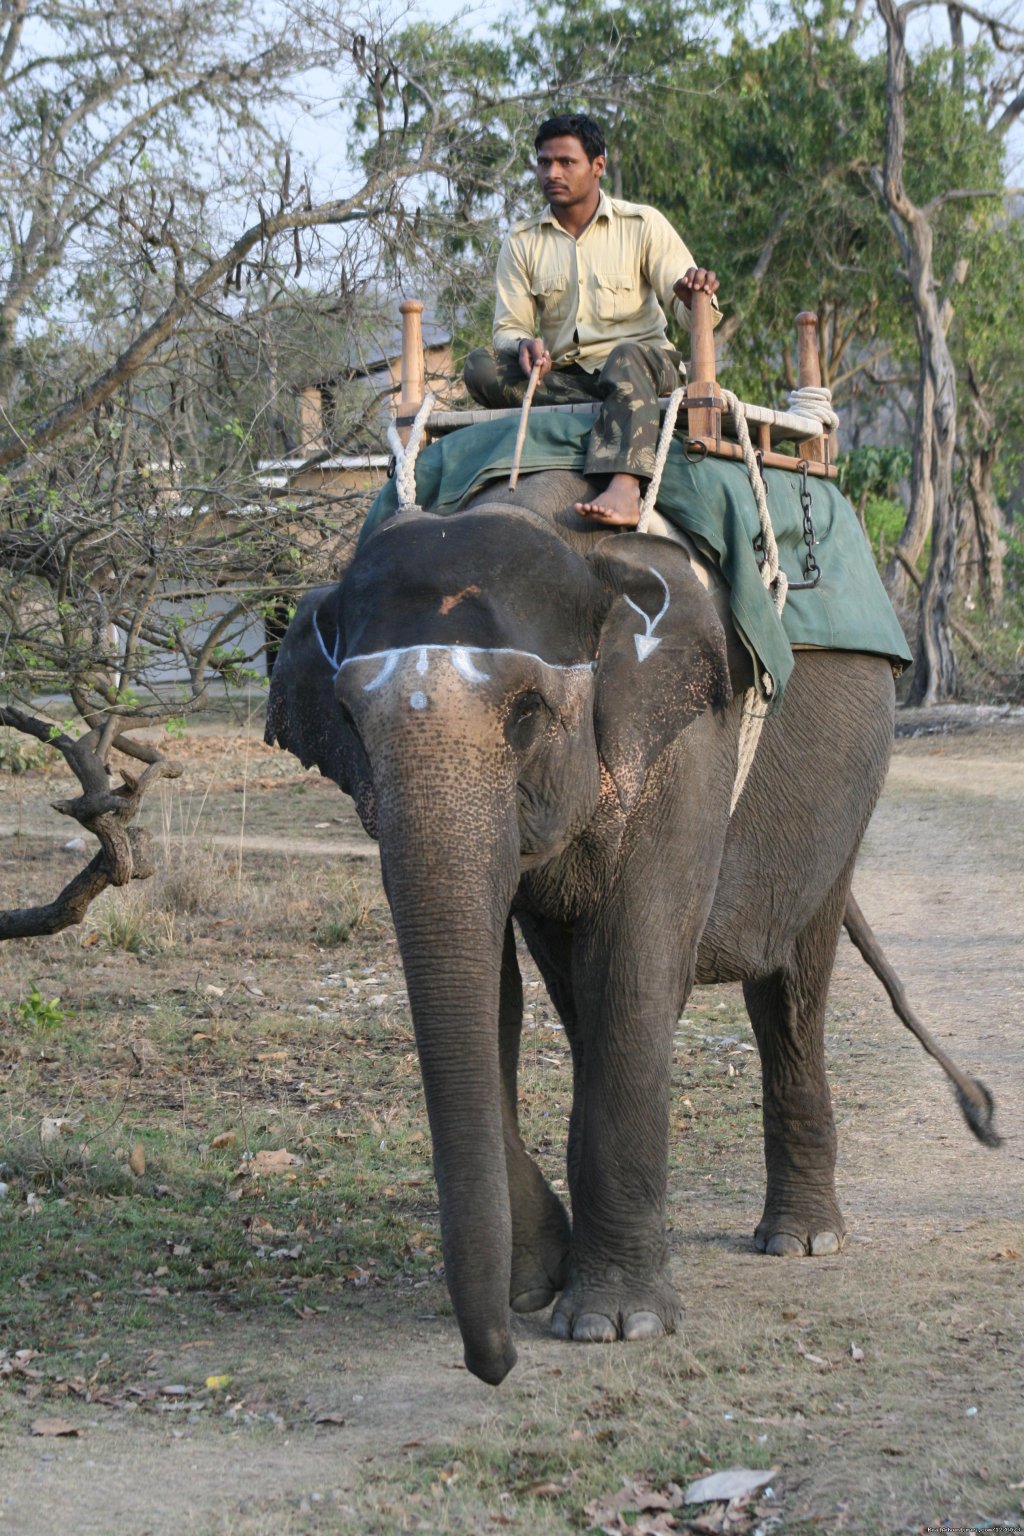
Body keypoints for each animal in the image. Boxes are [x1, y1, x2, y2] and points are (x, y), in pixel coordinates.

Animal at [267, 460, 1000, 1388]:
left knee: (791, 983)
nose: (494, 1365)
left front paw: (614, 1324)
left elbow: (632, 971)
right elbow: (504, 994)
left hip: (853, 788)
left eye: (528, 713)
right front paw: (537, 1281)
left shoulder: (690, 733)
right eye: (348, 722)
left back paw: (801, 1241)